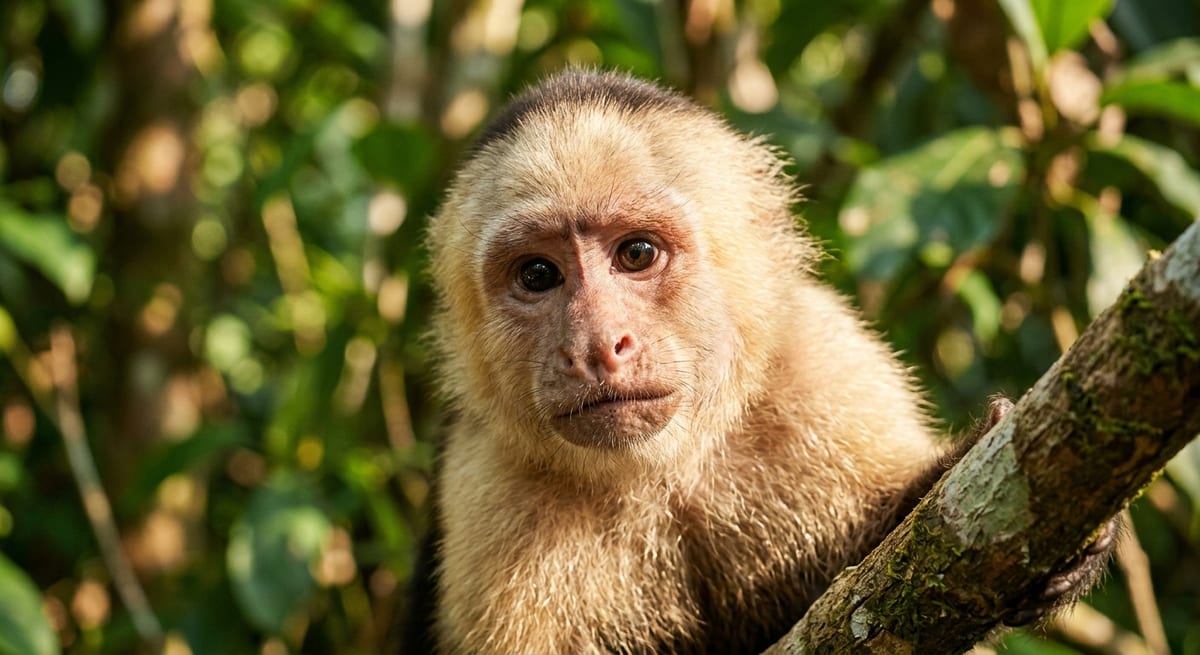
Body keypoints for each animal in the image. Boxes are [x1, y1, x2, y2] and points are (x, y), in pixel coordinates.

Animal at [408, 69, 1113, 653]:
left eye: (636, 254)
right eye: (537, 274)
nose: (599, 345)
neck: (668, 470)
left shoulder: (823, 361)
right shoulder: (488, 485)